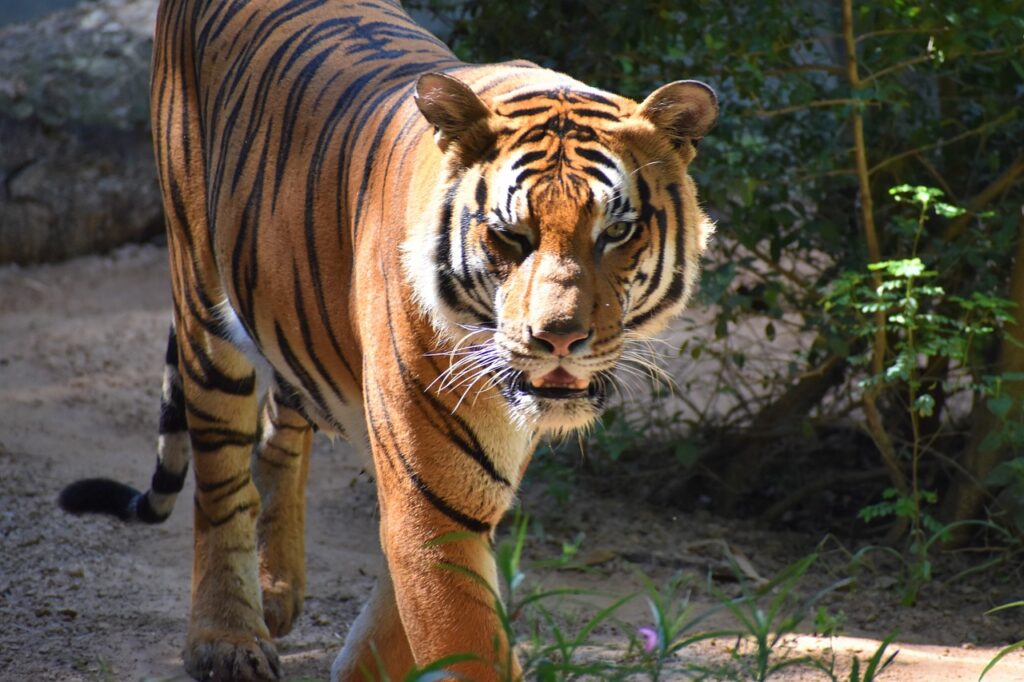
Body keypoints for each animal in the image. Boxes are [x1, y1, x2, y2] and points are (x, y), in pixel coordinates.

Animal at [57, 0, 718, 679]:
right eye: (510, 235)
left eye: (616, 232)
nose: (558, 338)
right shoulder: (433, 507)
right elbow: (462, 637)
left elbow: (398, 622)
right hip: (202, 304)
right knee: (220, 485)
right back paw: (227, 638)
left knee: (280, 430)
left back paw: (275, 588)